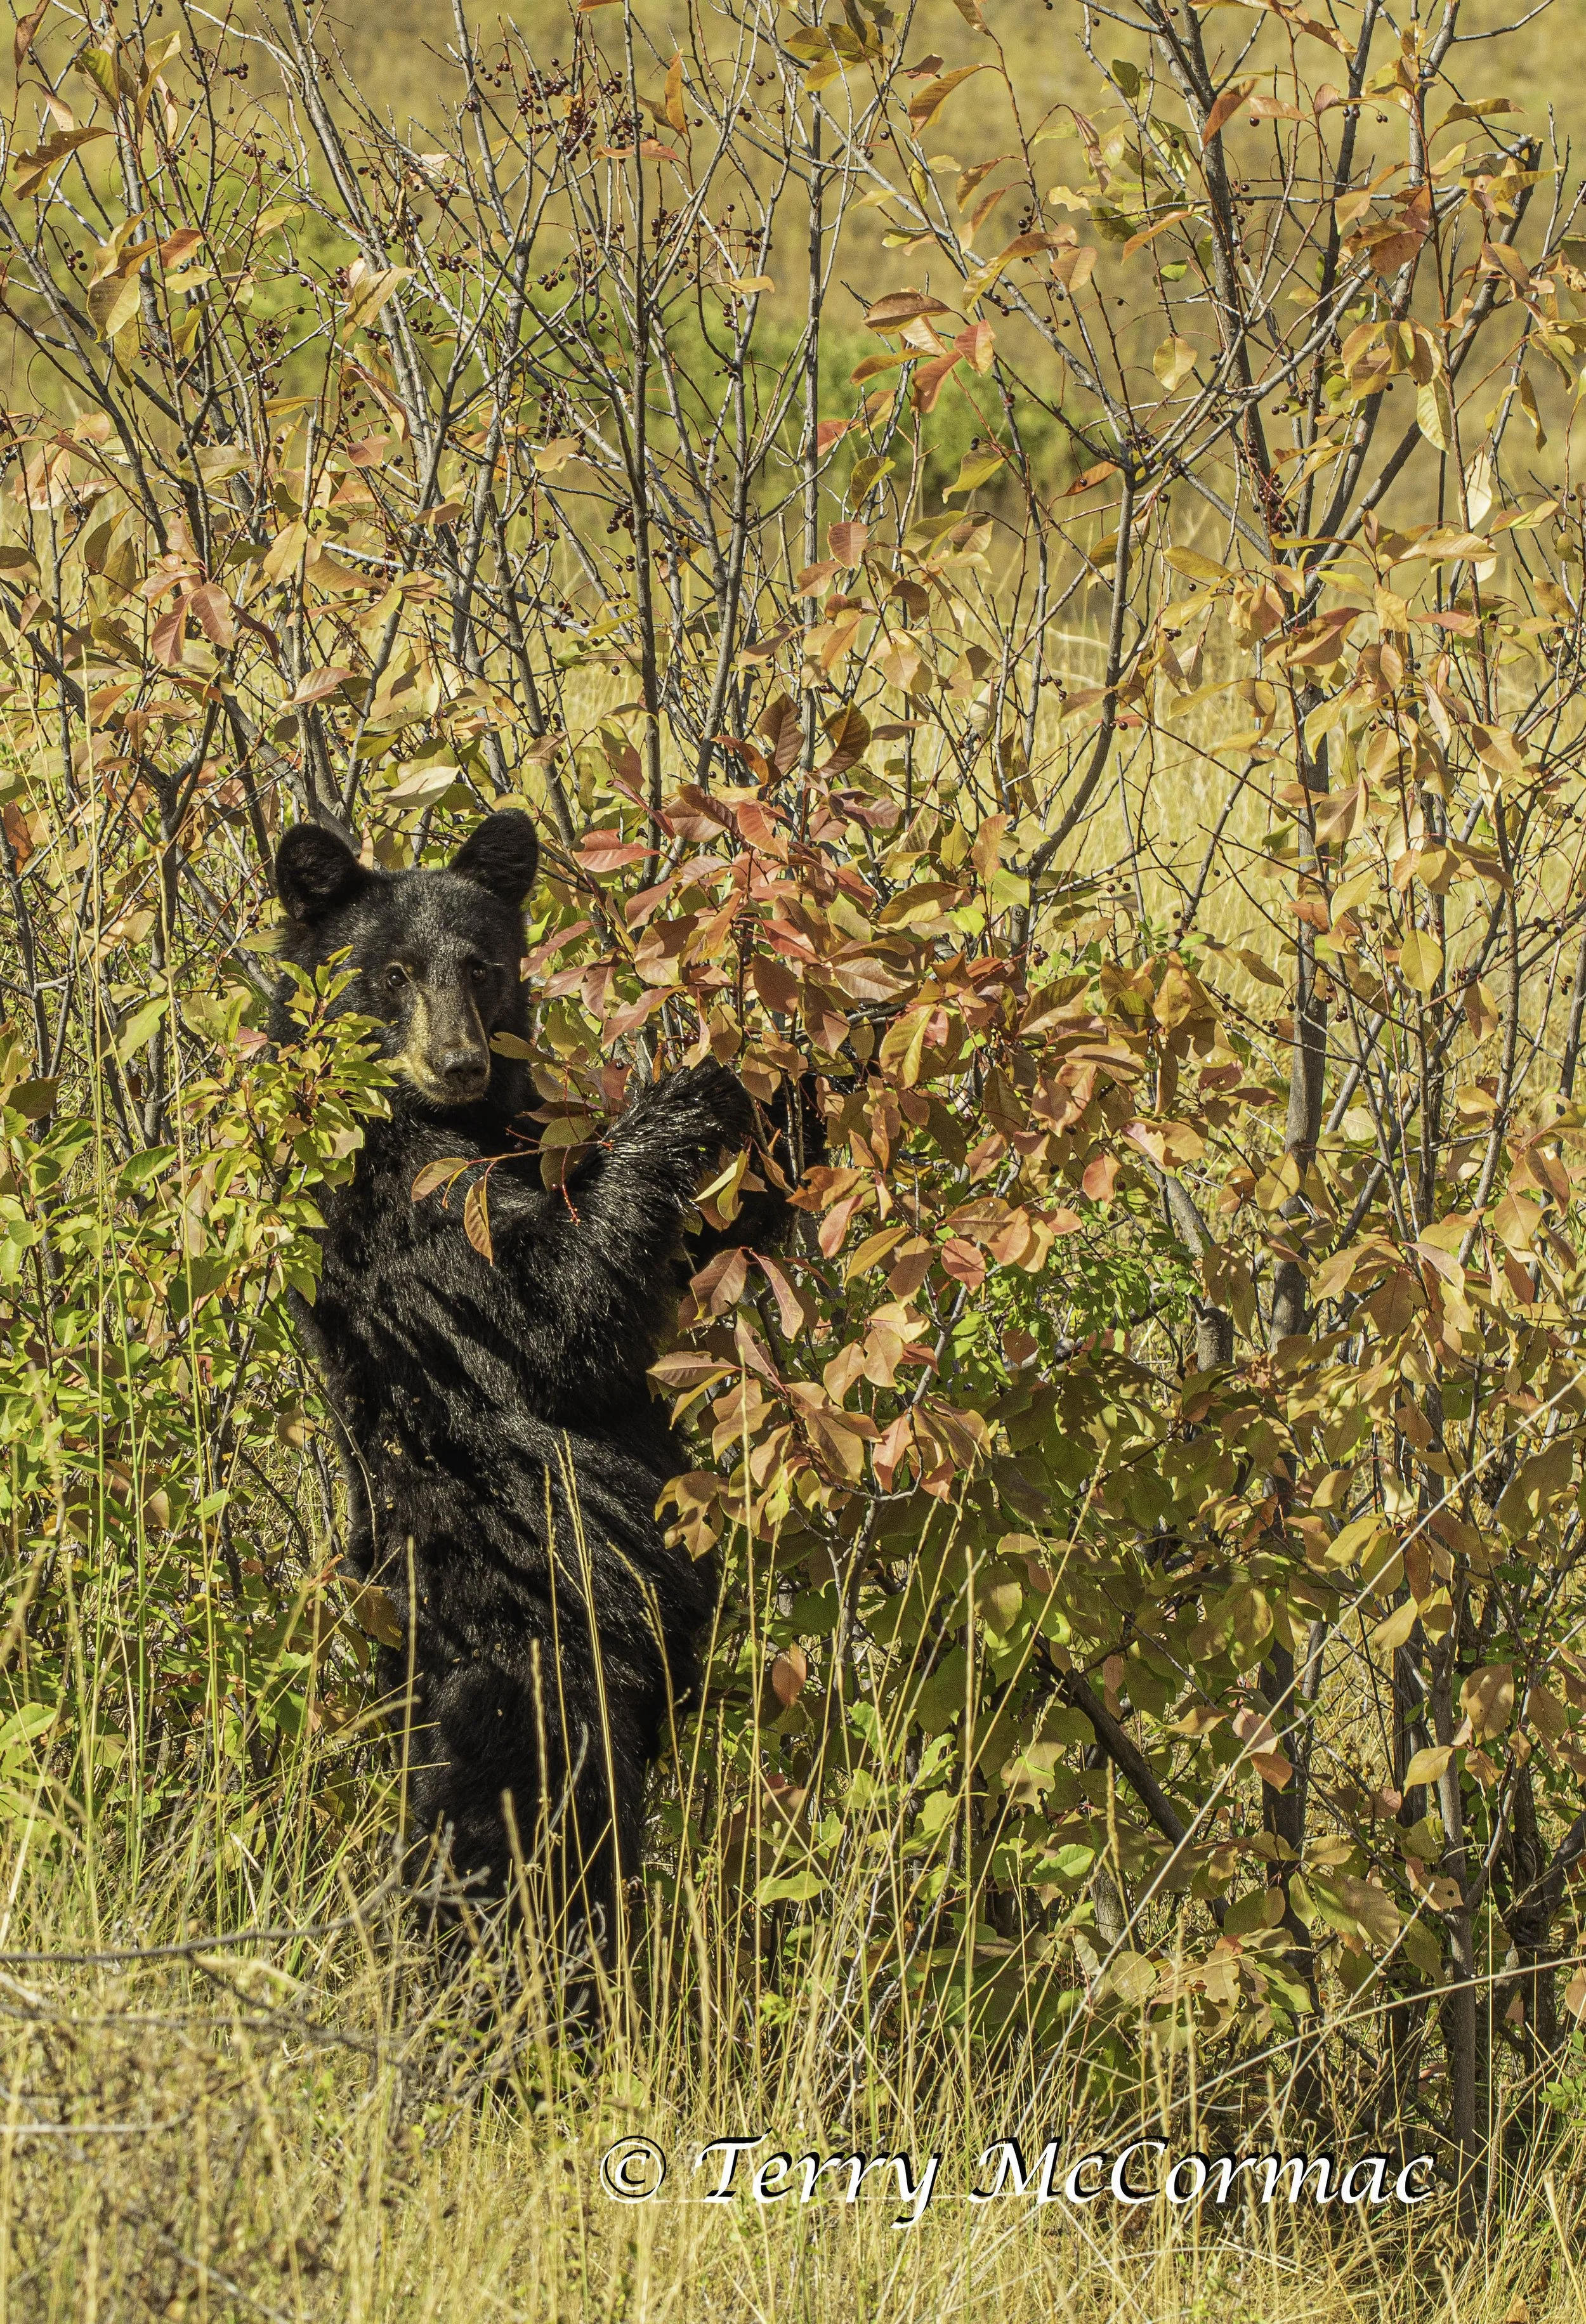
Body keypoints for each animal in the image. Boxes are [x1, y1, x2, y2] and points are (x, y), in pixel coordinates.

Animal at [269, 807, 799, 1970]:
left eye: (485, 963)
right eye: (390, 973)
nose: (460, 1061)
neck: (454, 1125)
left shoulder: (523, 1133)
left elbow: (700, 1238)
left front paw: (807, 1082)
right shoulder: (411, 1212)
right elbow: (560, 1311)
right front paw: (691, 1090)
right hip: (533, 1658)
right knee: (510, 1830)